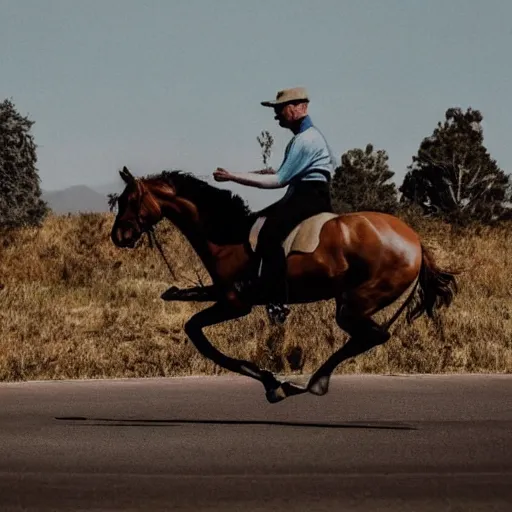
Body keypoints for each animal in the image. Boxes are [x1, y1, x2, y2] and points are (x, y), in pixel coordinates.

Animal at [111, 166, 456, 402]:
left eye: (130, 199)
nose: (119, 236)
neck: (227, 235)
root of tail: (416, 242)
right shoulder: (221, 295)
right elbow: (190, 315)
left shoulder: (235, 303)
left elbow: (197, 334)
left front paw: (270, 382)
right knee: (371, 336)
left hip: (355, 304)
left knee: (374, 335)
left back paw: (311, 384)